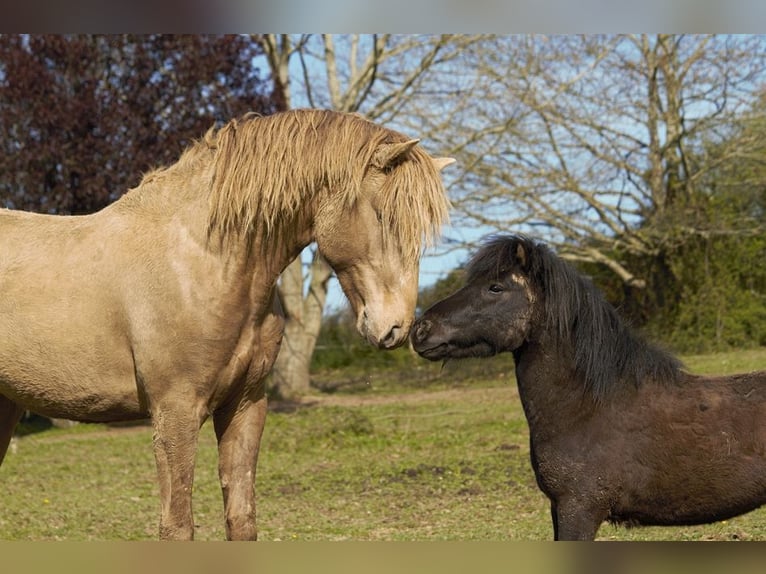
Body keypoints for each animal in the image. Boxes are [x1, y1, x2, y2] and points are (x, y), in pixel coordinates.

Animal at [0, 110, 456, 544]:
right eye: (383, 216)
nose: (396, 327)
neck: (202, 259)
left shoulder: (245, 405)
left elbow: (241, 520)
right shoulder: (175, 413)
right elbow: (177, 527)